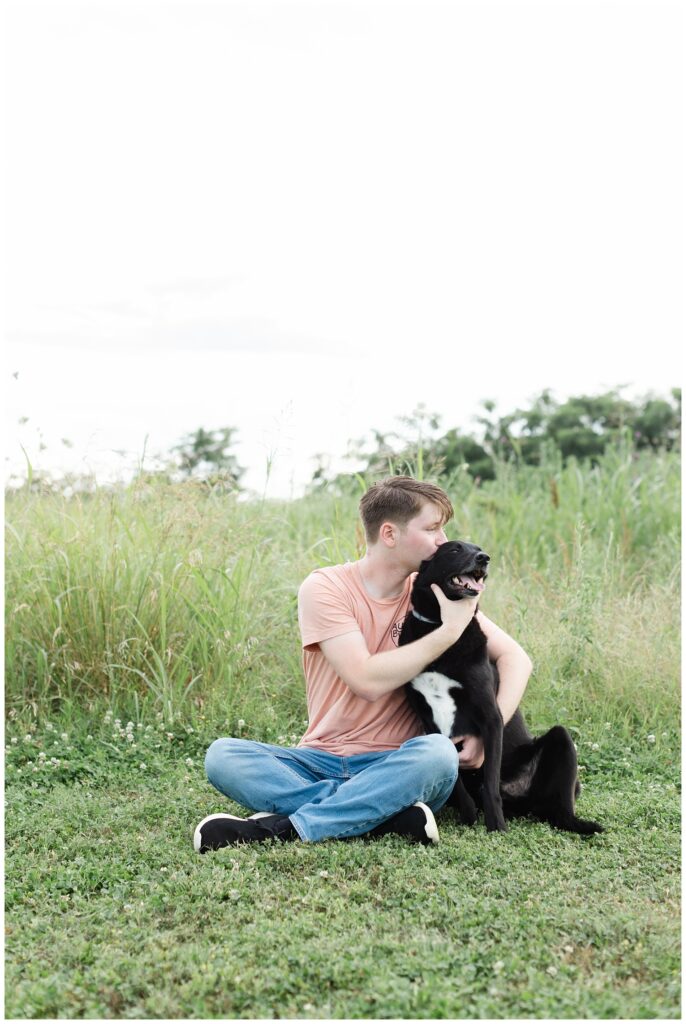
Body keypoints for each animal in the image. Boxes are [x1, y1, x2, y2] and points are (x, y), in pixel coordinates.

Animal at [401, 540, 606, 835]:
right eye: (454, 549)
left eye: (478, 548)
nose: (484, 558)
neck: (440, 629)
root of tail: (525, 802)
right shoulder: (429, 722)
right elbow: (457, 782)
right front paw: (468, 815)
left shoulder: (491, 717)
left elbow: (490, 783)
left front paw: (495, 825)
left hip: (562, 741)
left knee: (559, 809)